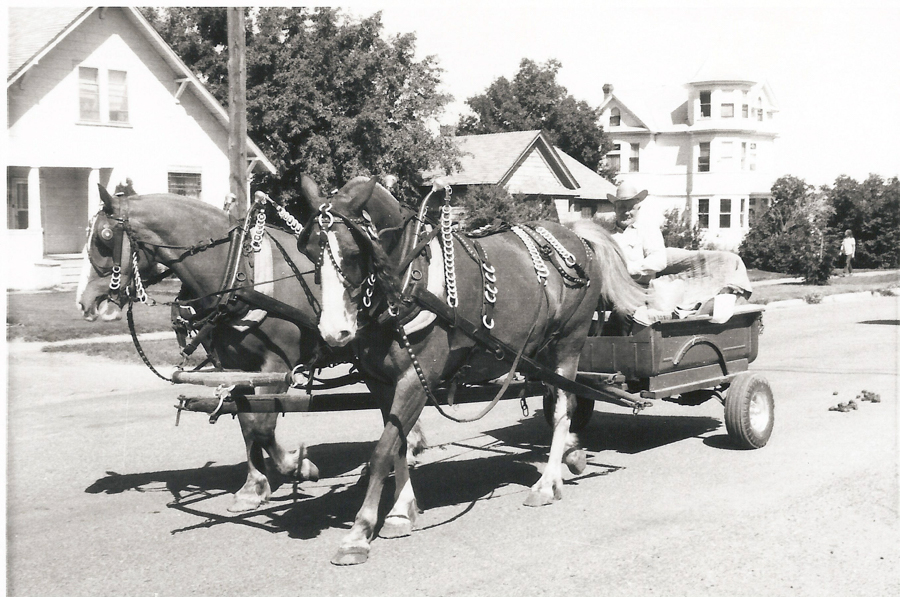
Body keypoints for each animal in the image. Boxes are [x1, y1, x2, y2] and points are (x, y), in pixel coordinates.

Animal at [76, 184, 426, 514]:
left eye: (105, 237)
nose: (85, 302)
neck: (237, 272)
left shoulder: (275, 366)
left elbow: (264, 424)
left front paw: (297, 465)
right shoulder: (234, 367)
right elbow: (248, 424)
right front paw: (253, 487)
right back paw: (411, 445)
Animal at [296, 175, 646, 565]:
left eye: (354, 253)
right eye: (308, 252)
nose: (334, 332)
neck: (407, 282)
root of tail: (575, 237)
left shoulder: (416, 381)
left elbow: (383, 450)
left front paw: (358, 533)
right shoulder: (381, 383)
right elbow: (399, 443)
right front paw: (401, 512)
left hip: (569, 343)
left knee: (562, 410)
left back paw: (547, 482)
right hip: (539, 351)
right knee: (557, 400)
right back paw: (571, 456)